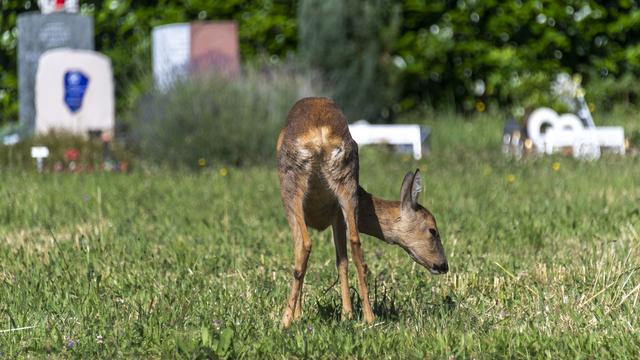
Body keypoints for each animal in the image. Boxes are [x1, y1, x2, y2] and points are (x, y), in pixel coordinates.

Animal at [278, 97, 448, 330]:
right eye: (433, 230)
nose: (443, 265)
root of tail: (320, 136)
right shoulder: (337, 216)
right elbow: (342, 261)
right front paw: (346, 314)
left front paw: (298, 315)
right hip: (347, 183)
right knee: (356, 244)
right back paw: (368, 317)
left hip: (291, 188)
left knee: (303, 245)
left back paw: (284, 321)